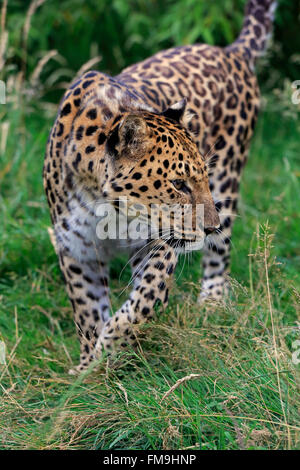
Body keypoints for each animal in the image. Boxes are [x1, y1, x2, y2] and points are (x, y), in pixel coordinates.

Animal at [44, 0, 276, 374]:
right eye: (179, 184)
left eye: (200, 179)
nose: (209, 227)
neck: (105, 207)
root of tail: (231, 51)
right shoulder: (77, 250)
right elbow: (86, 310)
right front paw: (88, 367)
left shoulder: (157, 244)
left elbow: (142, 303)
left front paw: (110, 346)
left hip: (229, 180)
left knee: (220, 254)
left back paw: (212, 303)